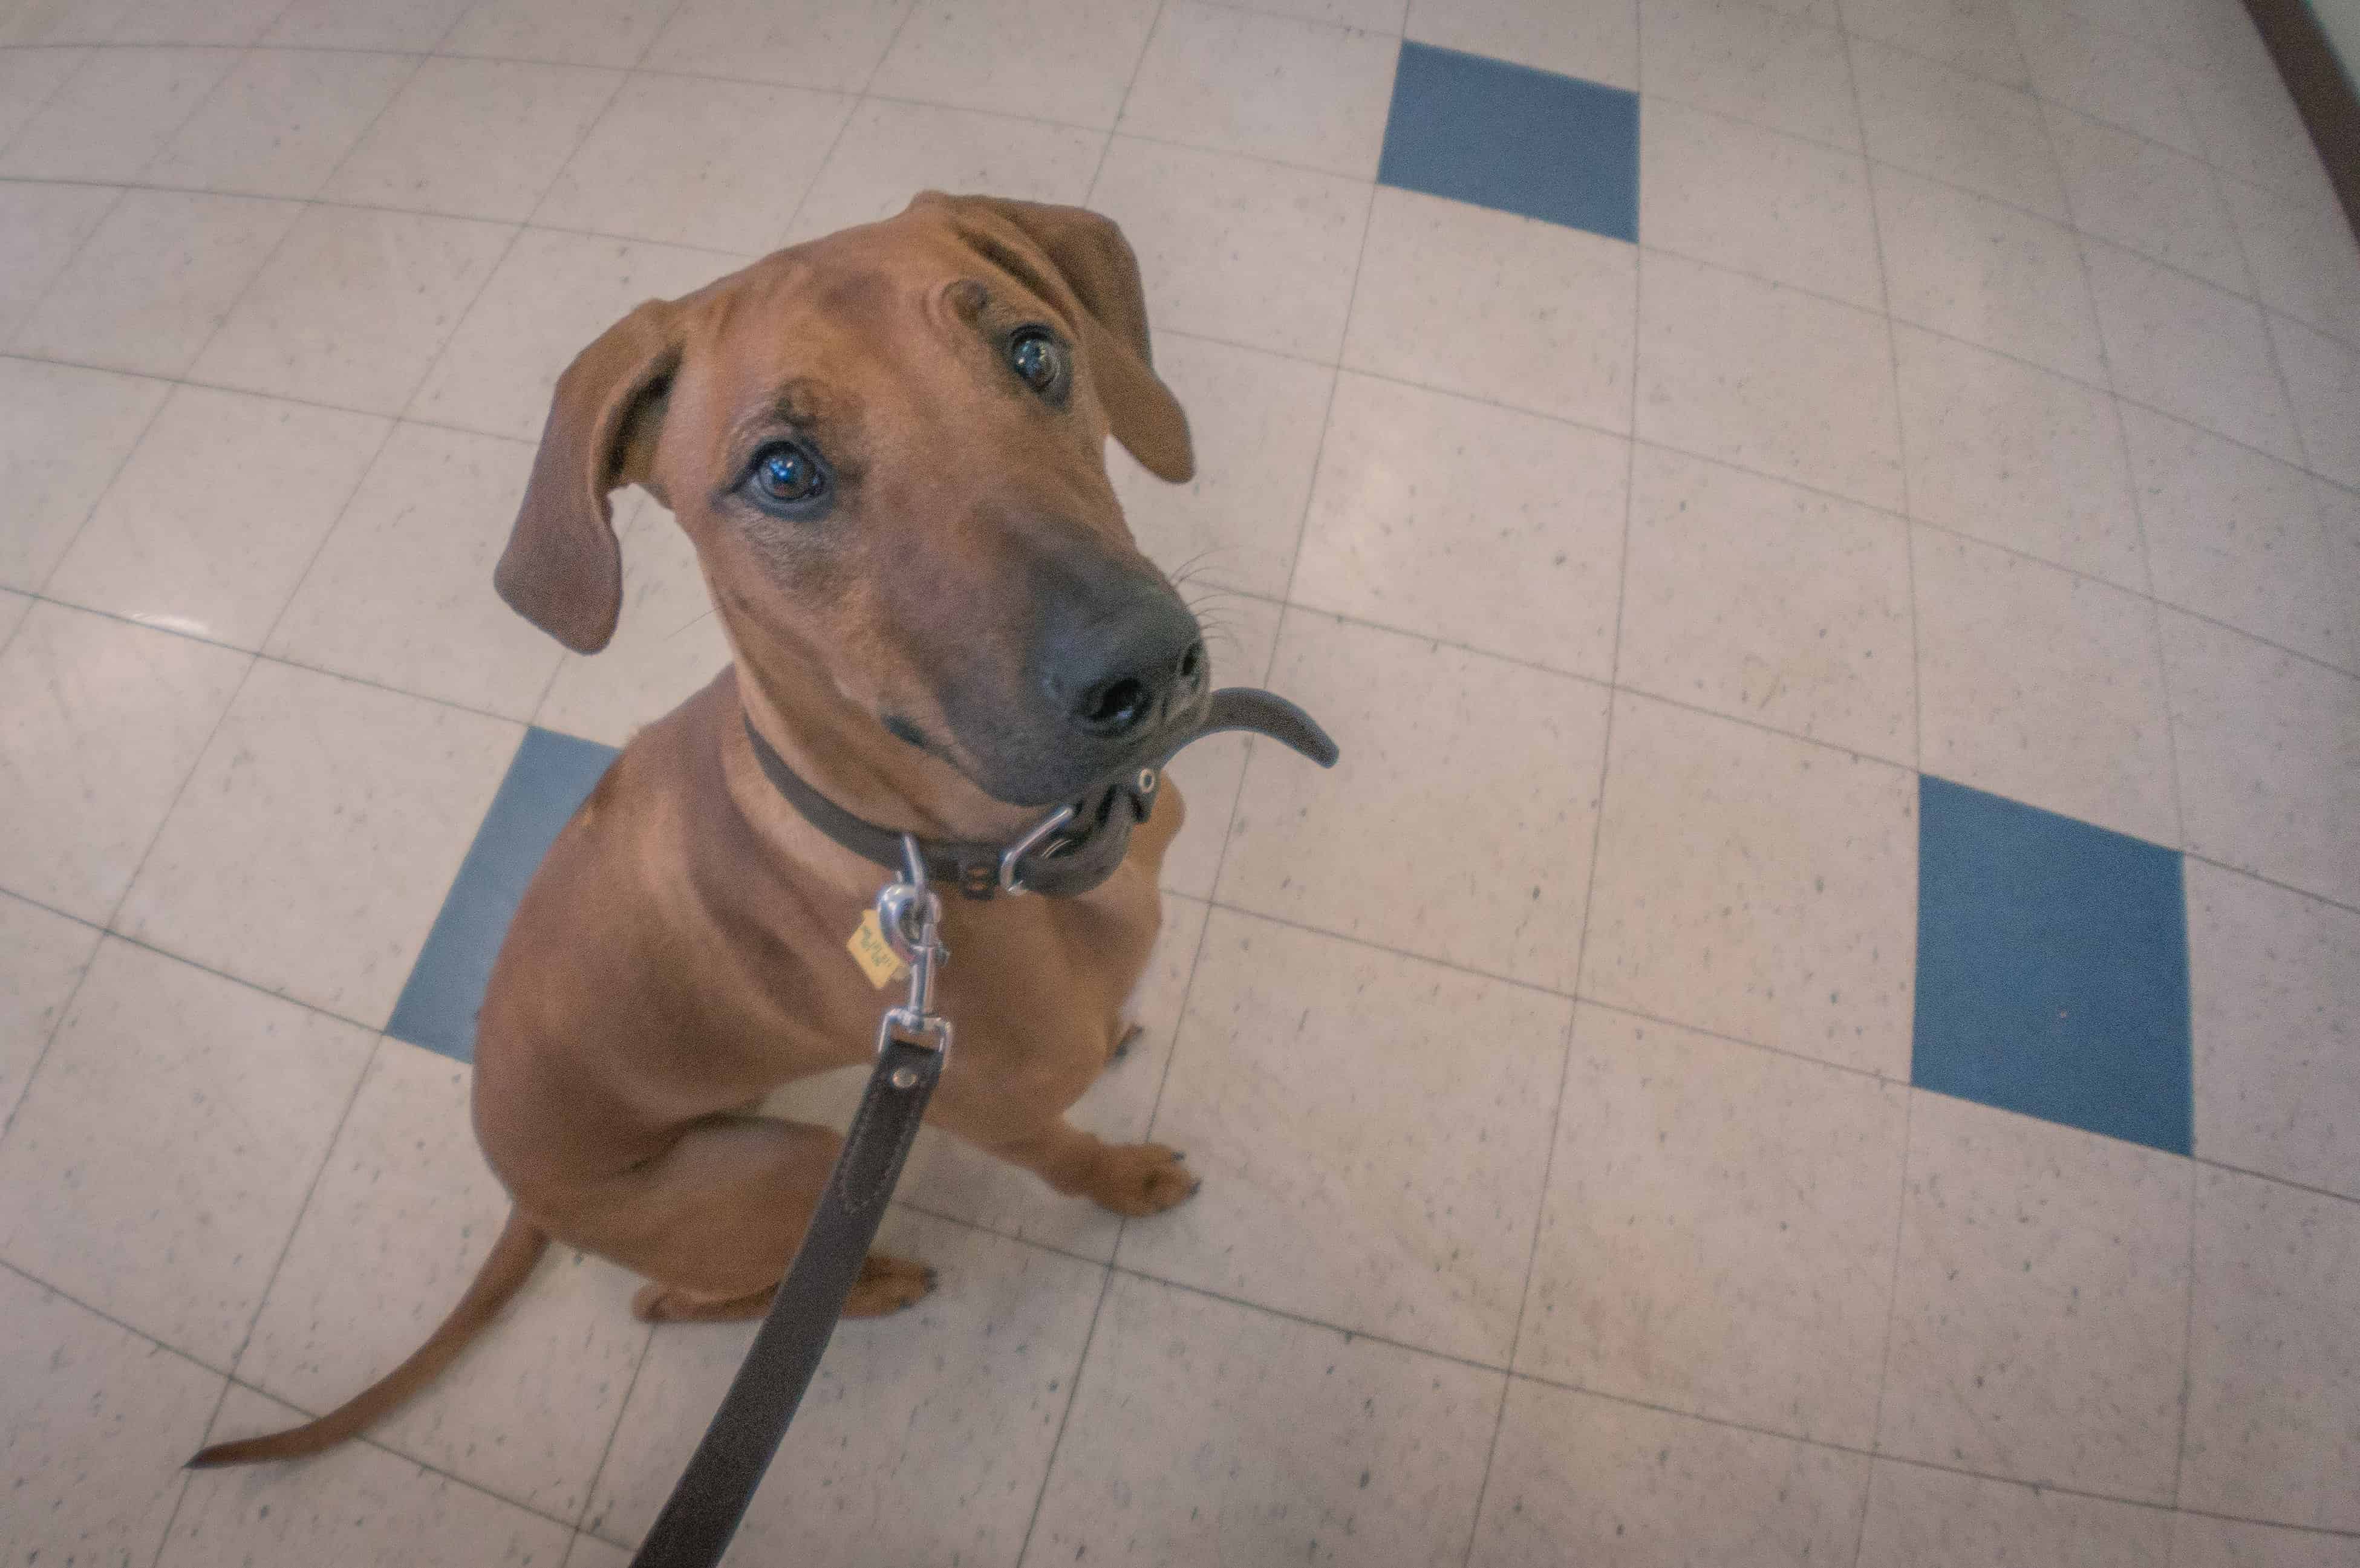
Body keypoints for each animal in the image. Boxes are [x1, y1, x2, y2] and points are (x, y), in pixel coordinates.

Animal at [191, 195, 1208, 1471]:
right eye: (783, 471)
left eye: (1033, 352)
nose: (1148, 666)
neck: (971, 858)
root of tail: (523, 1190)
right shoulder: (994, 1114)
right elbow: (1071, 1159)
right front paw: (1128, 1179)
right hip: (792, 1169)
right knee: (669, 1300)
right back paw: (872, 1280)